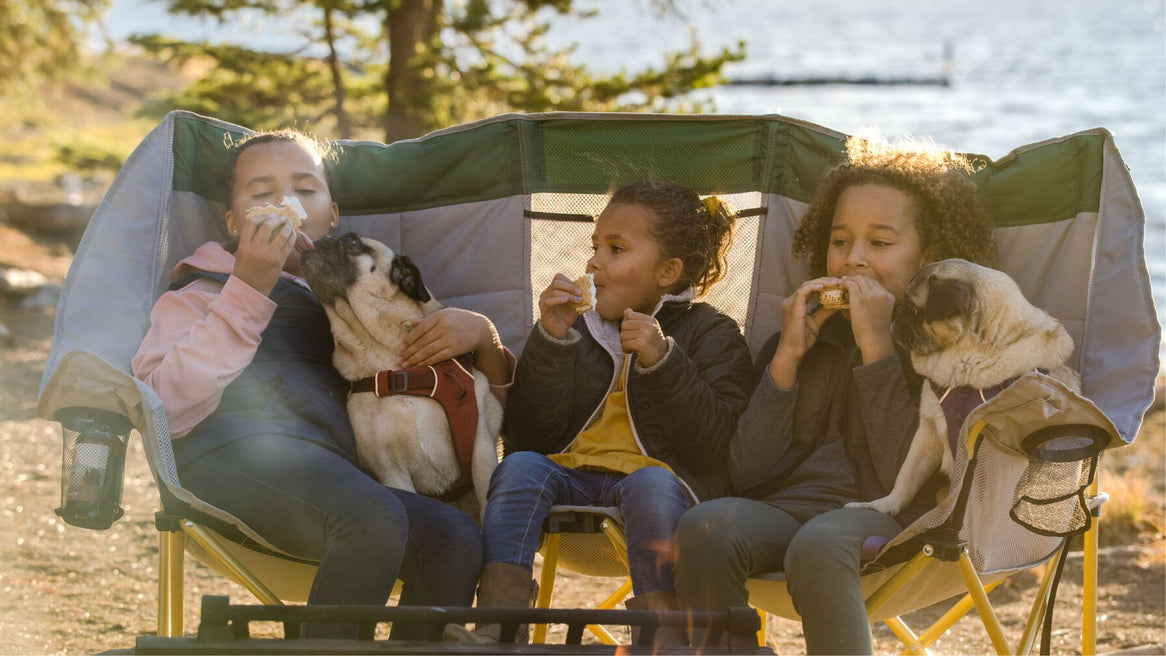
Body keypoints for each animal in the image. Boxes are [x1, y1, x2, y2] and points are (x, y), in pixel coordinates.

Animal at [296, 231, 501, 519]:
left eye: (350, 241)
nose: (322, 237)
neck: (398, 369)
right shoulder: (392, 471)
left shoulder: (481, 453)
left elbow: (488, 506)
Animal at [844, 259, 1077, 515]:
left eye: (913, 309)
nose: (897, 313)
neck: (966, 364)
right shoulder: (927, 433)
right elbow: (906, 477)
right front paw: (883, 506)